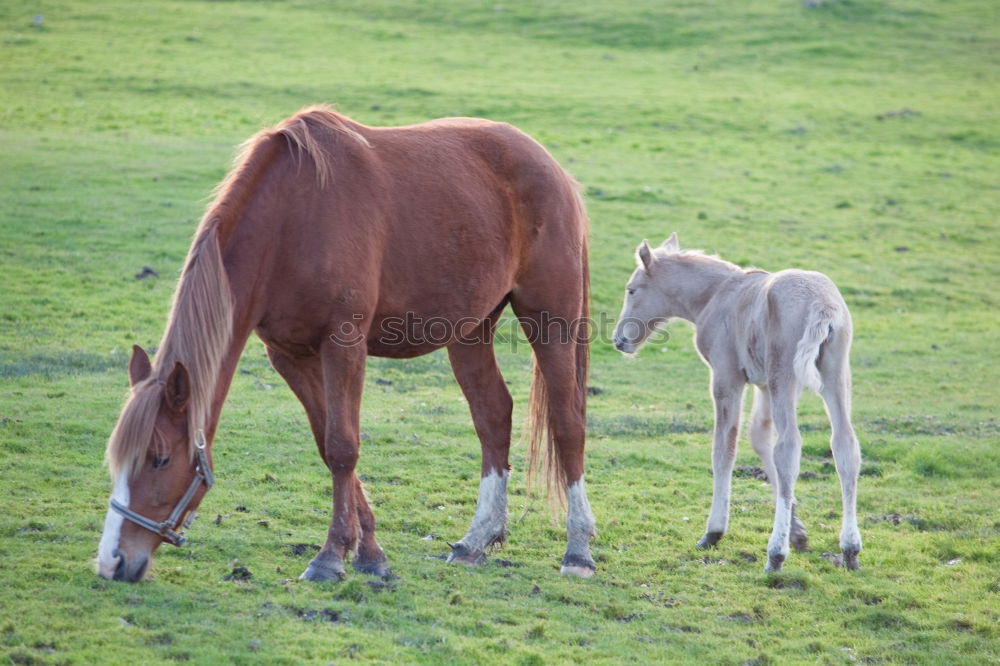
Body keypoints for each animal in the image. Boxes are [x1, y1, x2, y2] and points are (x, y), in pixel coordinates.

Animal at [95, 106, 592, 580]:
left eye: (159, 459)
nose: (112, 561)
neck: (291, 219)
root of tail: (552, 168)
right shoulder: (290, 356)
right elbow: (327, 443)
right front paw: (368, 551)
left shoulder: (343, 345)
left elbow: (342, 446)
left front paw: (331, 557)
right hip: (470, 330)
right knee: (493, 415)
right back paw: (476, 540)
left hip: (549, 320)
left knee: (567, 421)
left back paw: (578, 551)